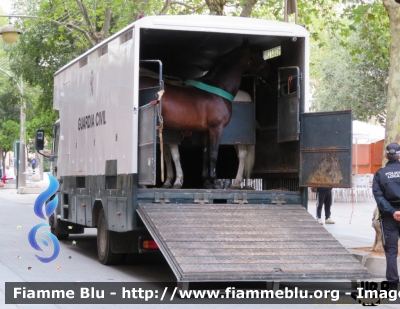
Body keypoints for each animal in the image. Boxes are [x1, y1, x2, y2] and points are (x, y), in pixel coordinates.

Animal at [139, 39, 270, 189]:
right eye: (255, 52)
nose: (268, 69)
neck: (217, 88)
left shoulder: (207, 131)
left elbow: (206, 154)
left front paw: (207, 182)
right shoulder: (216, 128)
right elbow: (213, 154)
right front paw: (214, 182)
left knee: (242, 154)